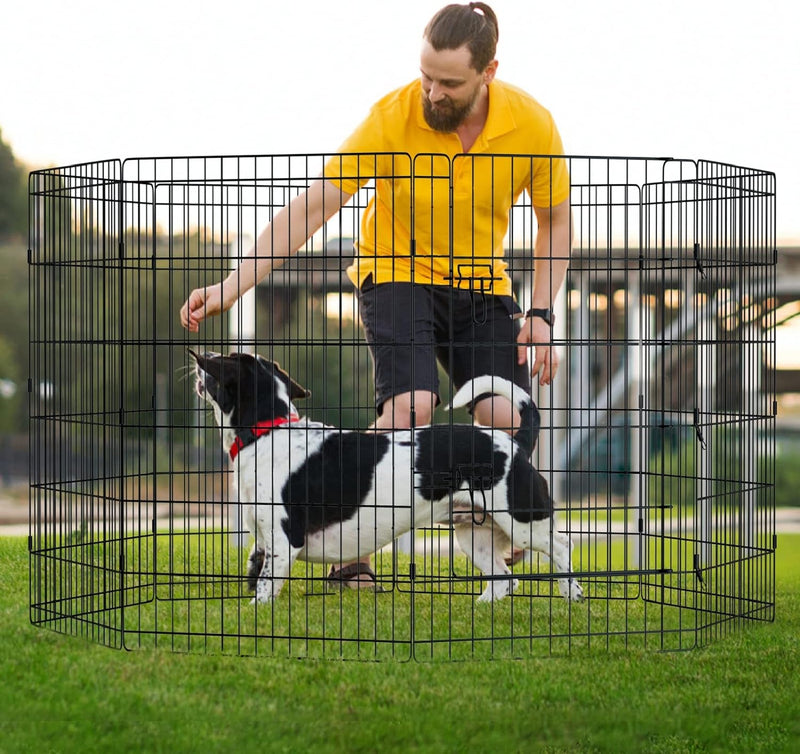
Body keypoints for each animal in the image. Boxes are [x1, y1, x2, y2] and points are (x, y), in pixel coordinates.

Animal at [191, 350, 584, 604]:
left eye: (221, 362)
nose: (200, 356)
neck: (268, 431)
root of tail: (514, 442)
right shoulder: (263, 540)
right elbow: (256, 572)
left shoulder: (284, 541)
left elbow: (264, 589)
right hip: (474, 536)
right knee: (505, 579)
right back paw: (482, 607)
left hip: (522, 521)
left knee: (561, 546)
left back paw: (573, 595)